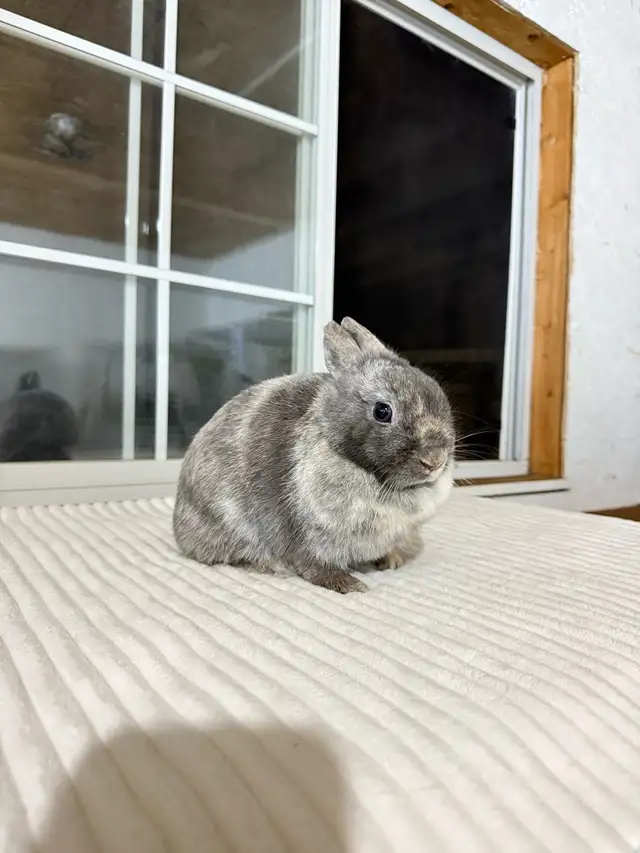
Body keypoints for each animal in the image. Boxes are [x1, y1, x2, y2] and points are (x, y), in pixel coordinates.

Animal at [173, 318, 455, 593]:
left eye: (435, 390)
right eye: (382, 411)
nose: (435, 460)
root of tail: (179, 527)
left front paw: (391, 561)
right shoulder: (311, 535)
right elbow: (315, 565)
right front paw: (350, 585)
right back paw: (271, 565)